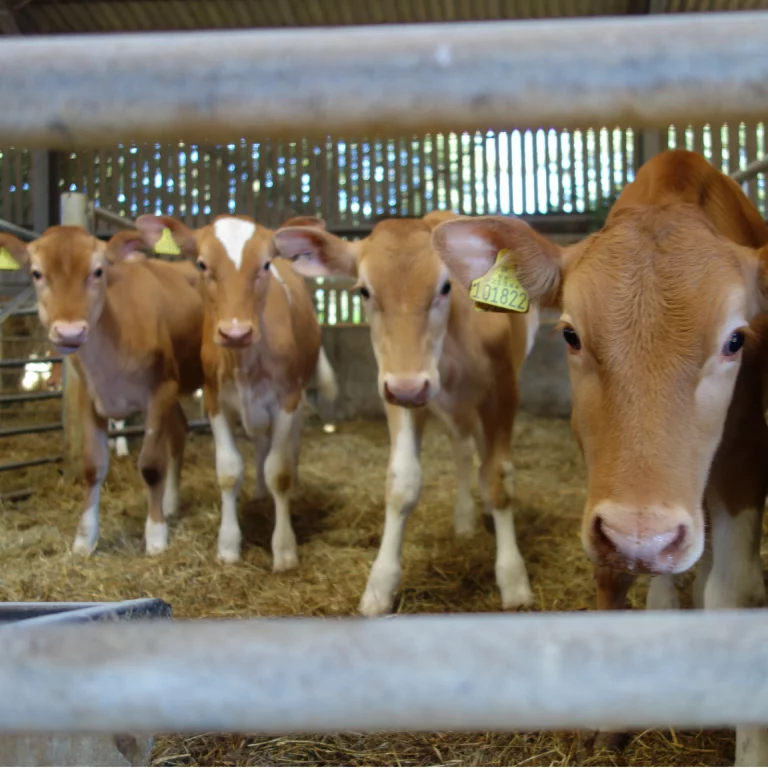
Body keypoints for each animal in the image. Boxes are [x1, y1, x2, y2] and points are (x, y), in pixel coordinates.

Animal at [0, 227, 205, 556]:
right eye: (36, 273)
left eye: (98, 271)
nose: (69, 331)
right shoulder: (89, 397)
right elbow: (92, 466)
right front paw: (85, 538)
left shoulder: (160, 390)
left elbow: (151, 465)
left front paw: (156, 535)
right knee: (180, 432)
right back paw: (171, 502)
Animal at [135, 213, 337, 569]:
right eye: (202, 264)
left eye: (265, 264)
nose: (235, 331)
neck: (244, 360)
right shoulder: (215, 400)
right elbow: (229, 471)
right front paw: (228, 545)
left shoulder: (286, 400)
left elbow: (279, 470)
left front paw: (284, 549)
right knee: (259, 444)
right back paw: (258, 492)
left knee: (289, 447)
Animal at [273, 210, 540, 616]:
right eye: (364, 291)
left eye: (445, 287)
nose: (409, 388)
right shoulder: (398, 391)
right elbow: (403, 482)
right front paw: (380, 585)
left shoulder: (503, 389)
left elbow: (498, 478)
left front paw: (513, 578)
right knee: (463, 449)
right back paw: (464, 519)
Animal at [430, 149, 768, 765]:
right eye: (570, 334)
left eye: (736, 340)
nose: (644, 537)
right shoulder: (596, 467)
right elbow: (611, 575)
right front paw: (611, 719)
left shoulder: (749, 452)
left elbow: (736, 593)